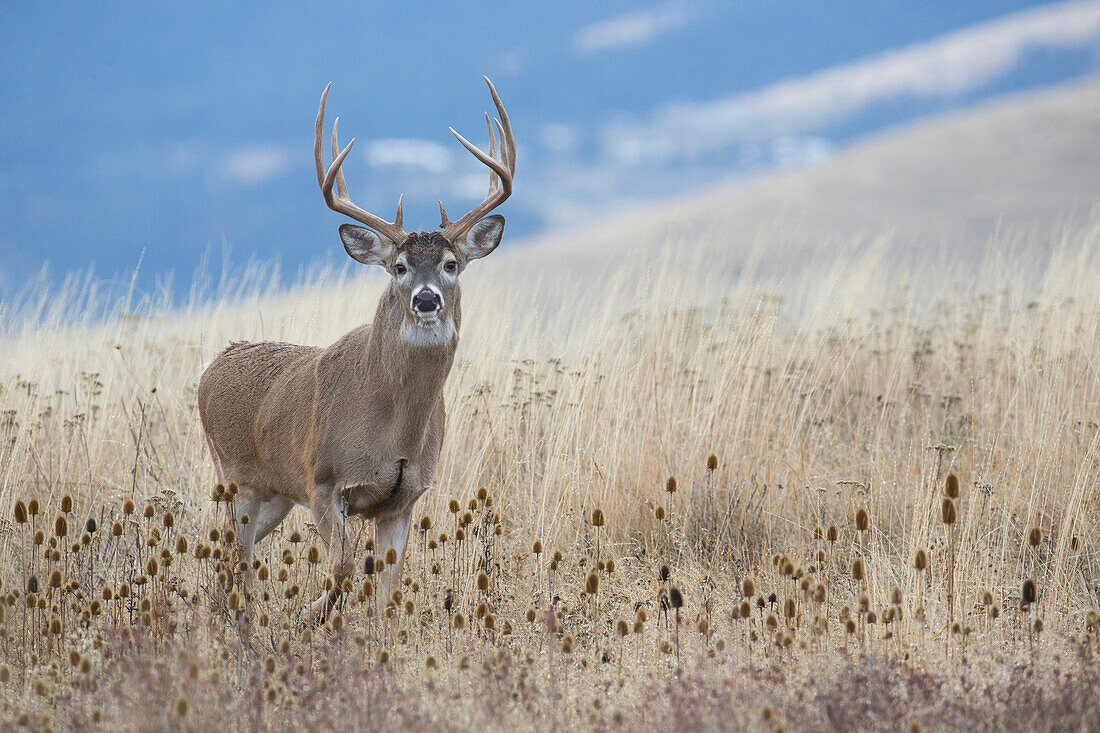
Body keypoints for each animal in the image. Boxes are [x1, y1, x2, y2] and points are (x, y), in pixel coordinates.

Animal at [198, 78, 514, 616]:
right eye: (399, 266)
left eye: (451, 263)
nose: (426, 299)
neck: (394, 430)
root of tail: (215, 363)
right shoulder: (323, 480)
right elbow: (343, 567)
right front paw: (308, 614)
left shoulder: (405, 499)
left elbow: (388, 592)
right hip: (234, 478)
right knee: (233, 557)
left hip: (273, 495)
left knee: (236, 557)